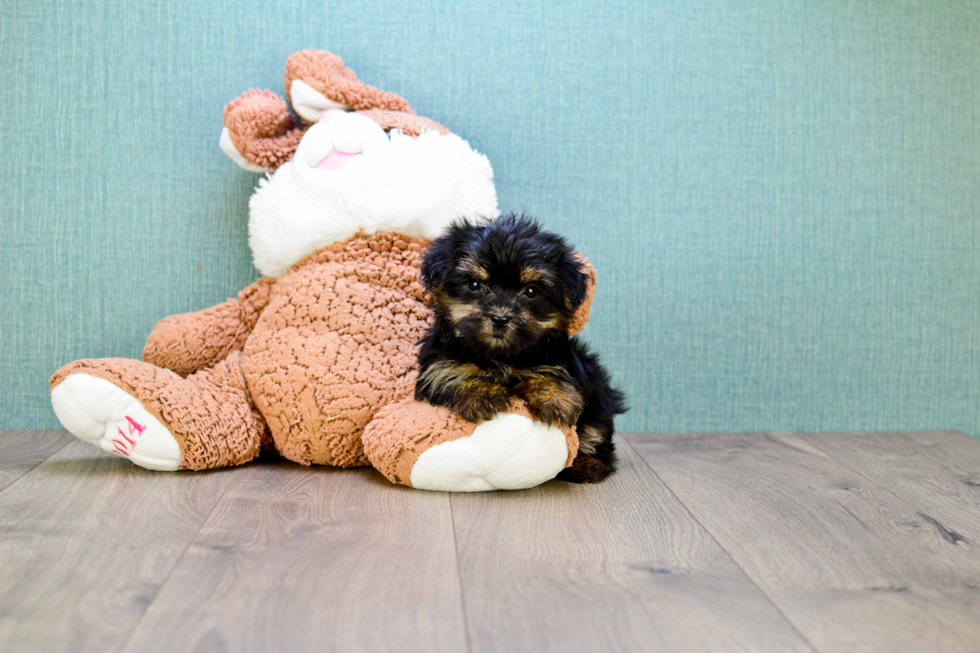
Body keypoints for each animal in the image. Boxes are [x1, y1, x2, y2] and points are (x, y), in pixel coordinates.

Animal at [416, 214, 628, 484]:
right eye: (474, 284)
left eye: (531, 291)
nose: (500, 318)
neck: (501, 356)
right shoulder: (439, 364)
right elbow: (452, 374)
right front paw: (483, 394)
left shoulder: (557, 359)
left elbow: (554, 374)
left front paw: (554, 399)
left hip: (600, 396)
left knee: (595, 431)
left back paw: (587, 464)